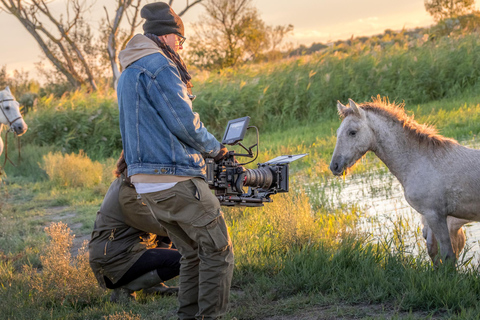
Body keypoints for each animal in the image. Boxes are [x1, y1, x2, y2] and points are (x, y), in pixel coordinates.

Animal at [330, 97, 480, 264]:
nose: (334, 166)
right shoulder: (431, 219)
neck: (419, 160)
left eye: (352, 132)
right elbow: (434, 253)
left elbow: (447, 255)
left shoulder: (435, 215)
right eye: (337, 132)